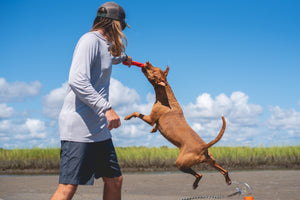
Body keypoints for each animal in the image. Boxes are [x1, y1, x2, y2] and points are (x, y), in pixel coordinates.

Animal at [124, 61, 232, 189]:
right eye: (155, 67)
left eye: (154, 71)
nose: (147, 62)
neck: (167, 97)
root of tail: (203, 147)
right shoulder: (154, 120)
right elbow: (154, 125)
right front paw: (154, 130)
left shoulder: (150, 119)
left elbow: (136, 113)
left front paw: (127, 117)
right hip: (211, 161)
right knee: (224, 171)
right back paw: (227, 181)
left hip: (181, 163)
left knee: (199, 174)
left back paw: (195, 184)